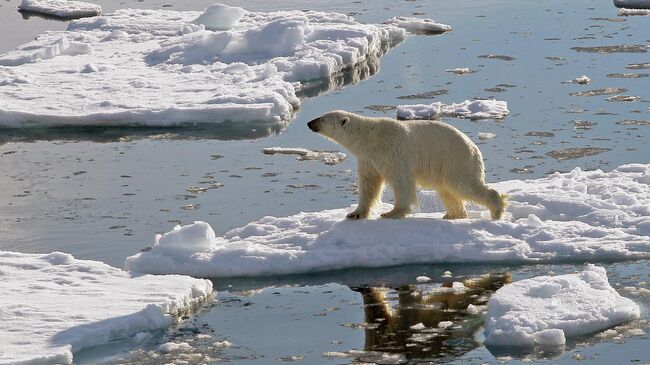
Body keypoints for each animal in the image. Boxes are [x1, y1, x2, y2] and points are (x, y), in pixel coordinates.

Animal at [306, 109, 504, 219]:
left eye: (322, 119)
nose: (309, 122)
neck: (371, 138)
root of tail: (474, 147)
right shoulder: (368, 159)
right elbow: (369, 184)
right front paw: (355, 213)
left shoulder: (394, 152)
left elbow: (401, 181)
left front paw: (392, 213)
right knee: (447, 191)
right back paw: (452, 215)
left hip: (456, 160)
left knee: (464, 186)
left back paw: (496, 210)